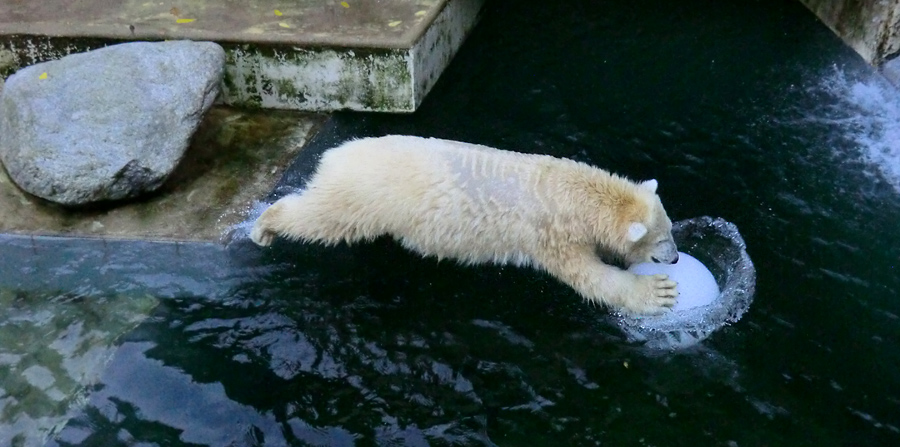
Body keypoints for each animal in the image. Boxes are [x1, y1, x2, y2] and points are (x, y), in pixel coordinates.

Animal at [250, 136, 680, 316]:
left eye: (672, 229)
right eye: (662, 240)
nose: (676, 259)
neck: (571, 191)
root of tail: (336, 153)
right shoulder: (550, 235)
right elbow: (590, 278)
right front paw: (657, 293)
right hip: (365, 196)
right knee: (324, 218)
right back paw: (263, 227)